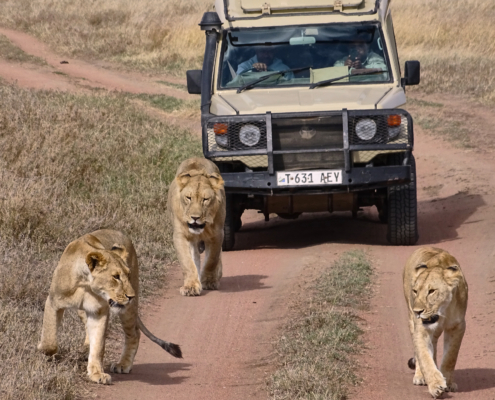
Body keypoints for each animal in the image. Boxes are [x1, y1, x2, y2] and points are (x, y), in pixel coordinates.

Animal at [37, 231, 182, 384]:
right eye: (116, 276)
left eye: (128, 275)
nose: (132, 296)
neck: (86, 285)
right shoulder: (53, 302)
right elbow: (49, 340)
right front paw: (42, 349)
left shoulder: (99, 311)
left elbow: (98, 345)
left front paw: (97, 373)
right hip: (83, 311)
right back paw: (85, 349)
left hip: (127, 310)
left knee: (134, 333)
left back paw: (123, 364)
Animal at [169, 158, 227, 296]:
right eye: (188, 198)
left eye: (205, 199)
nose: (195, 217)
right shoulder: (180, 236)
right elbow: (188, 263)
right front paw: (191, 286)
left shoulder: (217, 234)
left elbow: (212, 260)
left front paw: (209, 281)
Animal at [404, 247, 468, 396]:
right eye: (415, 291)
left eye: (432, 291)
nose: (417, 311)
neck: (442, 312)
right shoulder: (421, 329)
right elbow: (424, 357)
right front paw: (436, 385)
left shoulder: (458, 326)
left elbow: (451, 356)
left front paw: (448, 383)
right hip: (411, 321)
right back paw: (420, 376)